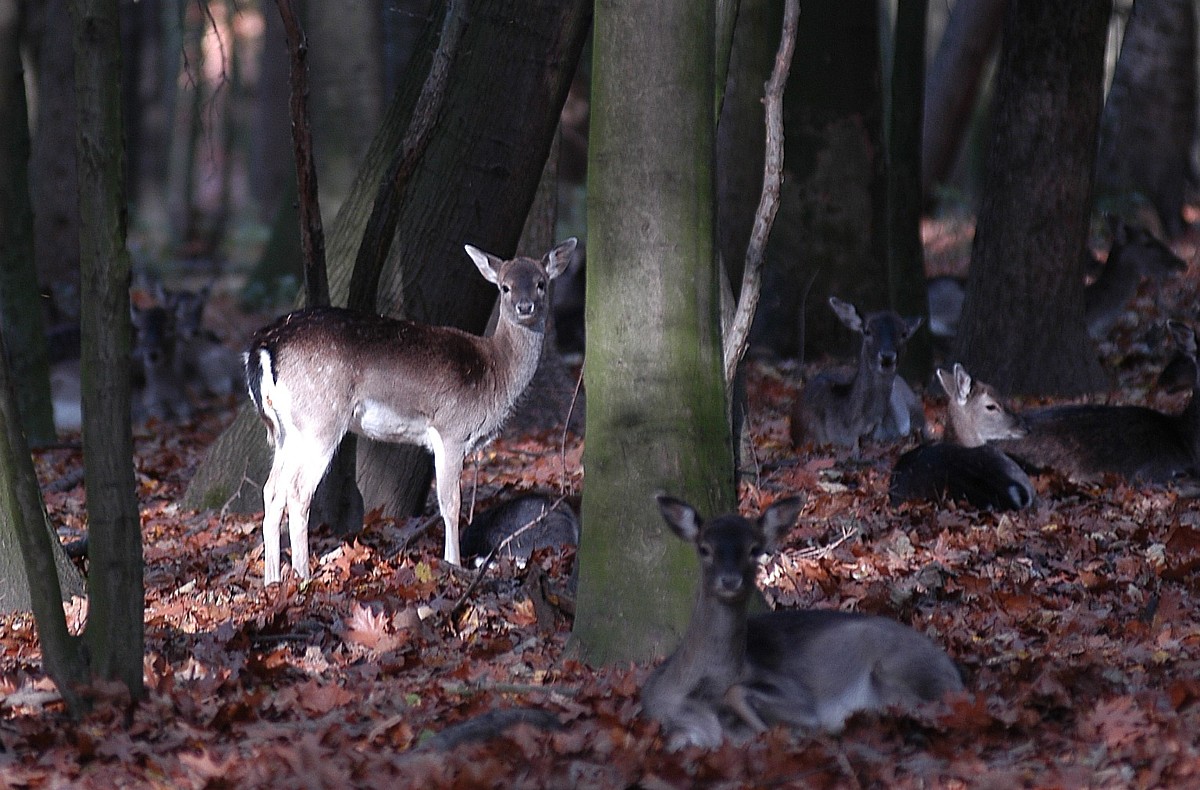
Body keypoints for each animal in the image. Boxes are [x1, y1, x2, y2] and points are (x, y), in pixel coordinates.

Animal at [244, 236, 576, 581]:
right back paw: (303, 577)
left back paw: (273, 580)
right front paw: (454, 563)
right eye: (505, 287)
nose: (525, 307)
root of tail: (262, 349)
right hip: (320, 418)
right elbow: (450, 503)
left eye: (541, 283)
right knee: (297, 492)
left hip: (287, 431)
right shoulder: (452, 428)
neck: (495, 372)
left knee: (272, 490)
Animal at [643, 494, 960, 749]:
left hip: (898, 667)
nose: (730, 580)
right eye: (704, 548)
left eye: (754, 548)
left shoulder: (796, 695)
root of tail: (953, 669)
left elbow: (743, 695)